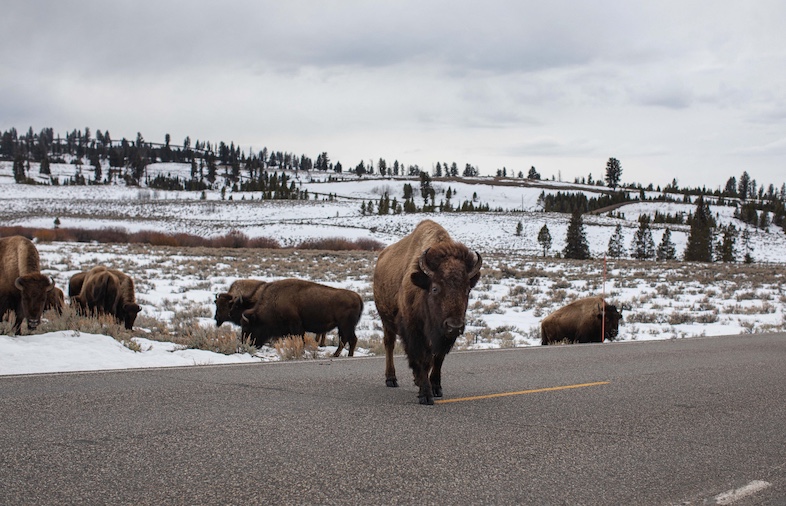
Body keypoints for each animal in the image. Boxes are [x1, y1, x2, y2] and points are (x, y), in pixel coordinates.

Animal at [373, 220, 482, 405]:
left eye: (467, 289)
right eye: (435, 288)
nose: (454, 326)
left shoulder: (442, 336)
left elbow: (437, 358)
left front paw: (436, 388)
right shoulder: (414, 331)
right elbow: (421, 359)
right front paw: (425, 394)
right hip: (386, 321)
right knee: (389, 344)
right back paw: (391, 379)